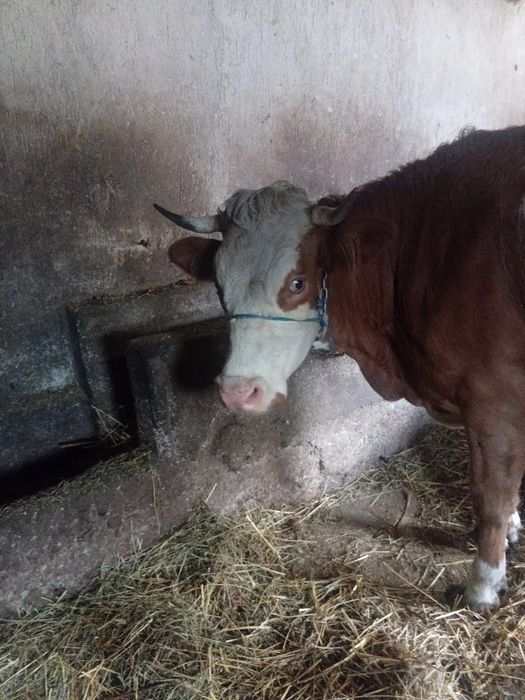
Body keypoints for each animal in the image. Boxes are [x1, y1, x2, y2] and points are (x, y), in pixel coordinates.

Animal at [154, 126, 525, 610]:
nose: (238, 391)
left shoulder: (492, 392)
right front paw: (514, 531)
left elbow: (490, 492)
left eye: (298, 282)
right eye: (218, 285)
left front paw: (483, 584)